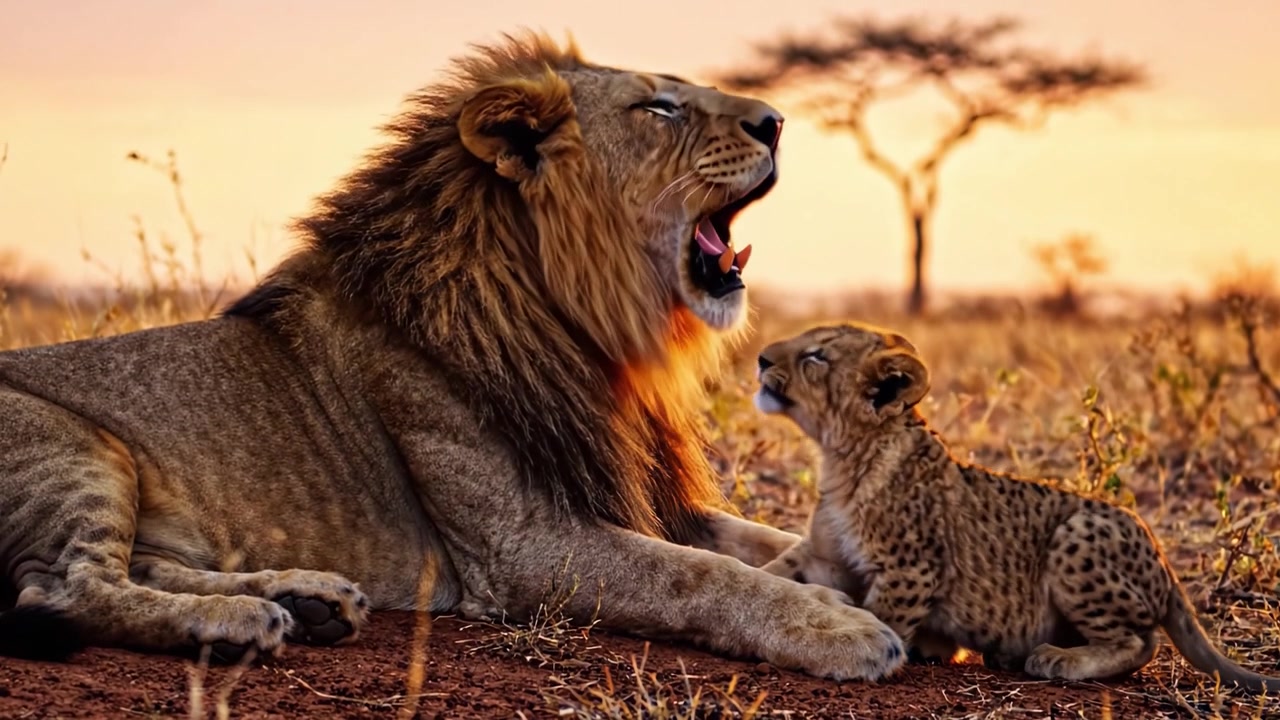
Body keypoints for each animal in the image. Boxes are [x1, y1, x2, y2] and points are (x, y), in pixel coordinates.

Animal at [0, 32, 905, 681]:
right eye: (659, 107)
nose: (776, 121)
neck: (585, 330)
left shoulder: (641, 496)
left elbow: (759, 542)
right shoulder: (524, 546)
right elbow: (704, 578)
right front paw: (844, 629)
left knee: (135, 569)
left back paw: (308, 600)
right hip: (76, 449)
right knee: (67, 586)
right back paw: (237, 623)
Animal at [751, 321, 1280, 691]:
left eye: (816, 356)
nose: (759, 358)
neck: (843, 456)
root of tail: (1166, 562)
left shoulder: (912, 569)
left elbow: (885, 618)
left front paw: (875, 647)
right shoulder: (825, 556)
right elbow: (776, 572)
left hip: (1078, 535)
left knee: (1139, 641)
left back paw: (1058, 658)